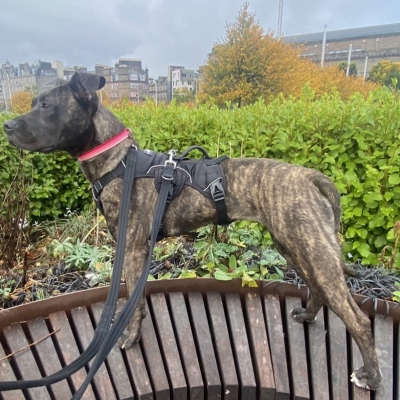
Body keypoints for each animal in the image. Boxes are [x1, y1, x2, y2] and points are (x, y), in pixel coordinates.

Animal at [4, 72, 382, 390]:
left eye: (47, 106)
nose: (6, 125)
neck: (120, 162)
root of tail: (311, 177)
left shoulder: (133, 249)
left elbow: (133, 302)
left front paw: (131, 337)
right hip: (296, 246)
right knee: (317, 289)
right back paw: (308, 315)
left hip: (313, 250)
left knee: (358, 320)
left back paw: (371, 376)